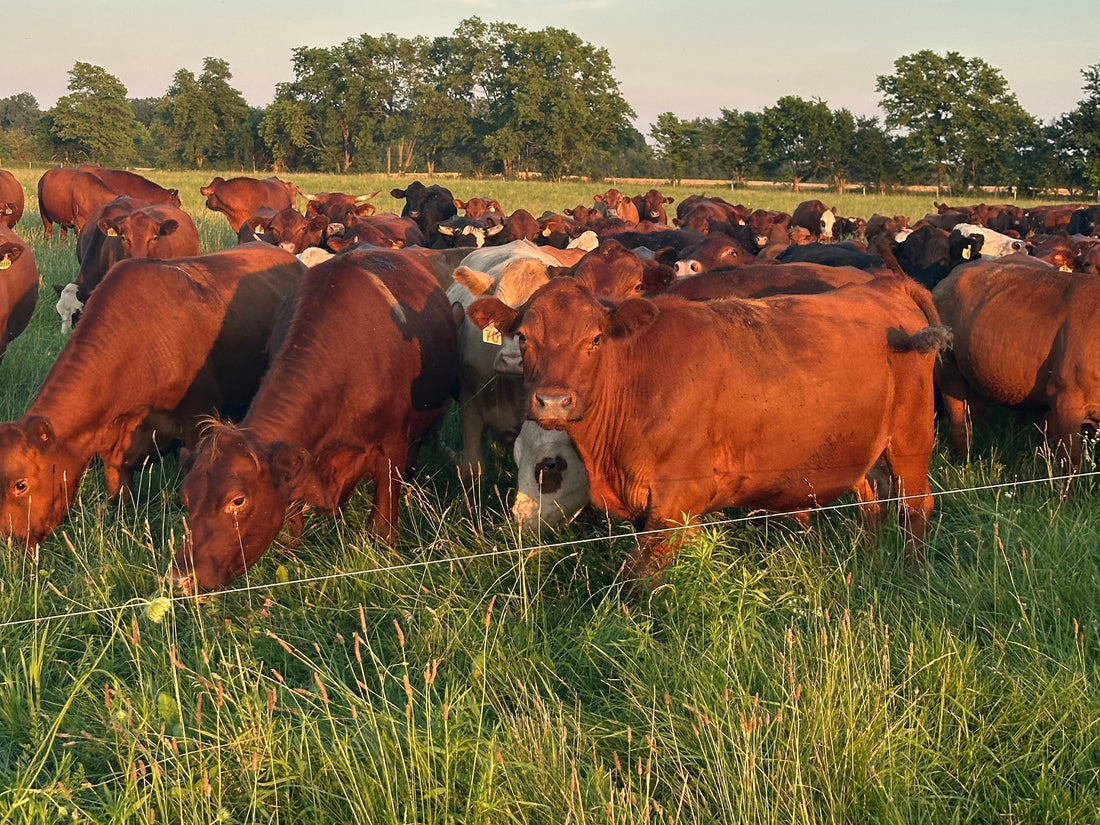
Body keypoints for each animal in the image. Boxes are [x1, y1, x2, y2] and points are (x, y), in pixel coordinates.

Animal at [171, 247, 460, 593]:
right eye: (186, 498)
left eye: (237, 501)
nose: (181, 577)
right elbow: (291, 524)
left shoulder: (391, 446)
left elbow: (382, 522)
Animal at [466, 275, 947, 582]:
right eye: (524, 338)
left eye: (595, 339)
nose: (552, 401)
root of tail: (883, 285)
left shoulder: (676, 502)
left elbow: (635, 579)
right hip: (862, 450)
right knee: (873, 503)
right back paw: (869, 562)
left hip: (910, 441)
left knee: (915, 508)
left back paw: (910, 576)